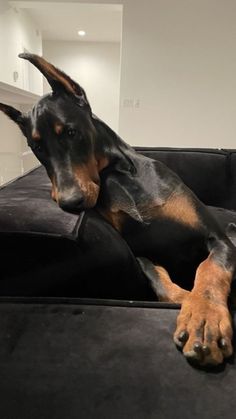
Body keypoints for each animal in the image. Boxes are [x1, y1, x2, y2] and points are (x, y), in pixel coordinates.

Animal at [0, 53, 236, 368]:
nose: (70, 202)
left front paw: (204, 318)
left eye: (71, 132)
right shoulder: (140, 252)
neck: (118, 174)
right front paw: (186, 301)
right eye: (36, 147)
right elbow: (155, 273)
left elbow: (209, 270)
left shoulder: (217, 238)